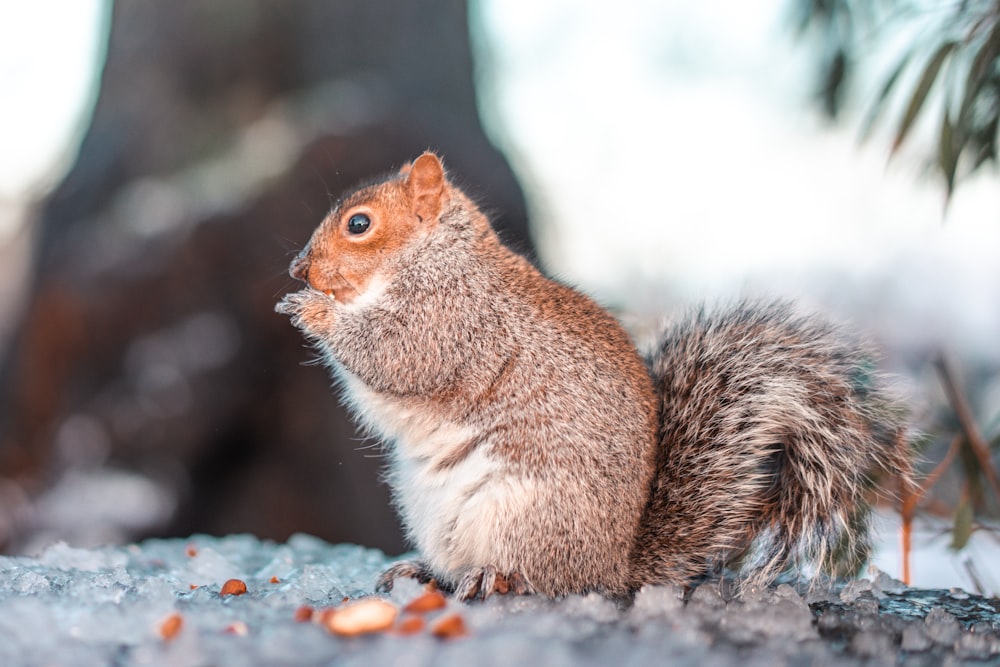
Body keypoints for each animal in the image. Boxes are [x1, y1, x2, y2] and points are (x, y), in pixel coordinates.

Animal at [276, 154, 916, 604]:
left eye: (360, 224)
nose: (298, 268)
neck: (434, 256)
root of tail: (615, 565)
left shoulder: (456, 321)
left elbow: (397, 354)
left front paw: (314, 311)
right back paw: (425, 571)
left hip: (524, 513)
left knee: (545, 579)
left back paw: (495, 578)